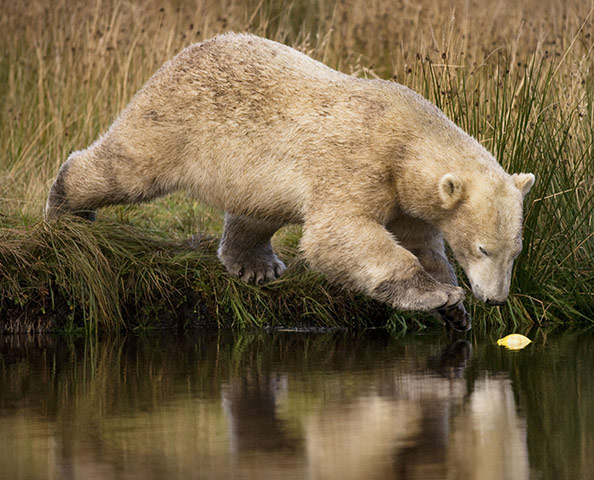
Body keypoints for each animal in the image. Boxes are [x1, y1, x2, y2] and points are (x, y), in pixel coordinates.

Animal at [45, 31, 532, 328]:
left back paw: (255, 265)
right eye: (483, 249)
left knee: (256, 211)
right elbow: (339, 235)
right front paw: (436, 297)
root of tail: (184, 54)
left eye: (515, 251)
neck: (406, 135)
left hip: (250, 171)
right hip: (174, 121)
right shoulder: (358, 162)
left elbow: (421, 242)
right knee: (126, 166)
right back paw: (66, 208)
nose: (495, 300)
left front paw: (454, 306)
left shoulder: (406, 193)